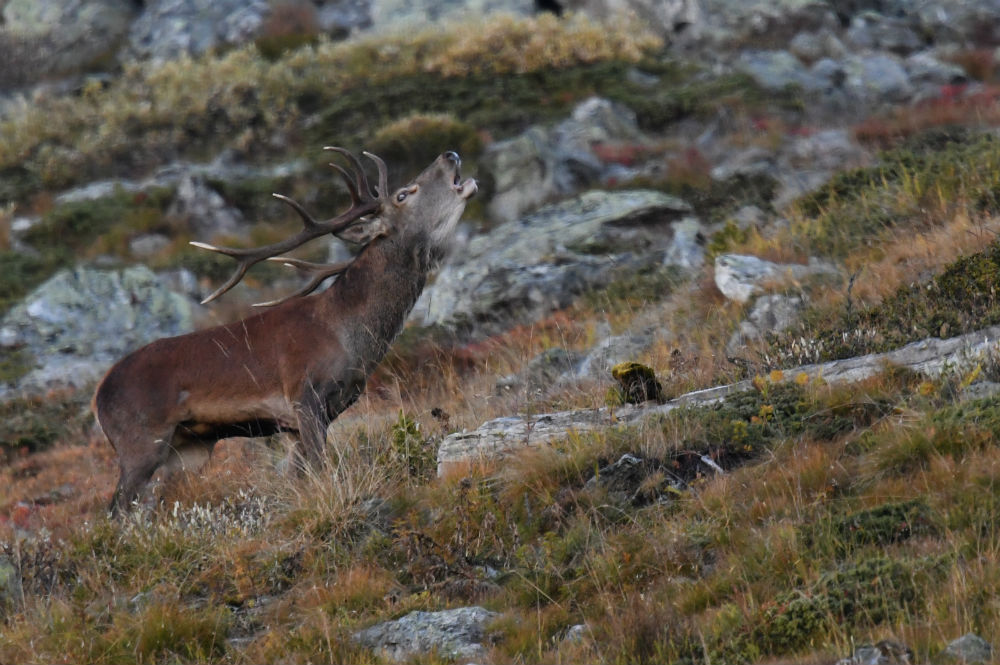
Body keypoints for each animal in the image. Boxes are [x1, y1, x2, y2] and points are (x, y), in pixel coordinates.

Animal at [93, 148, 477, 515]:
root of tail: (98, 396)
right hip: (141, 442)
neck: (349, 334)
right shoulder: (304, 395)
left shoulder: (298, 422)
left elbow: (299, 477)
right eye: (403, 194)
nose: (450, 154)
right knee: (115, 510)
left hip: (181, 451)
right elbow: (322, 468)